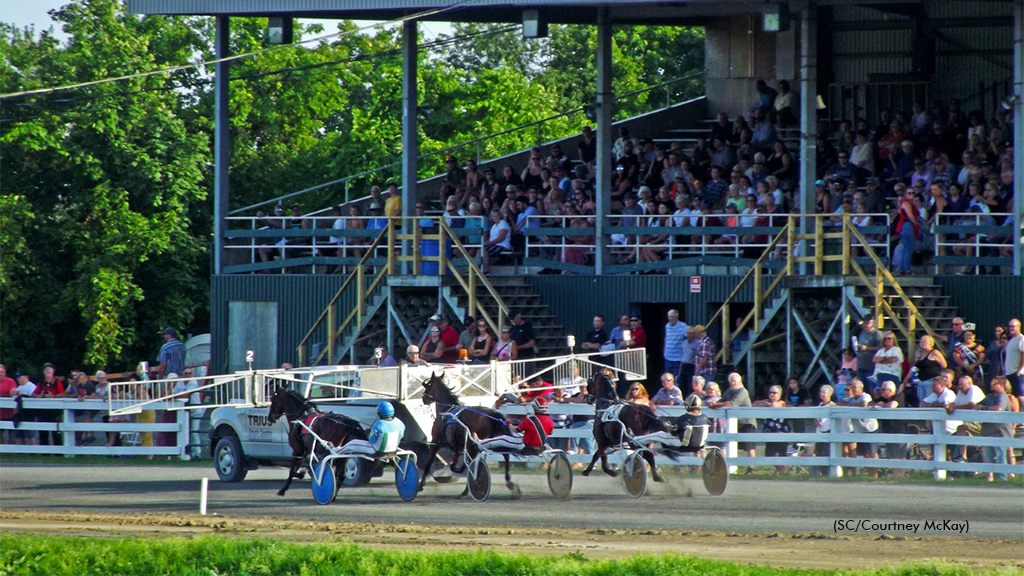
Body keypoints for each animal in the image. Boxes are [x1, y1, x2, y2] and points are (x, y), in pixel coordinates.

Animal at [415, 368, 524, 496]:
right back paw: (509, 483)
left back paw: (469, 489)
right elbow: (454, 465)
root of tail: (490, 414)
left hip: (477, 445)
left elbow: (429, 463)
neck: (446, 410)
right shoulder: (459, 449)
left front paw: (420, 485)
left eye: (427, 385)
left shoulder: (436, 443)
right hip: (493, 441)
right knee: (506, 455)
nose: (424, 399)